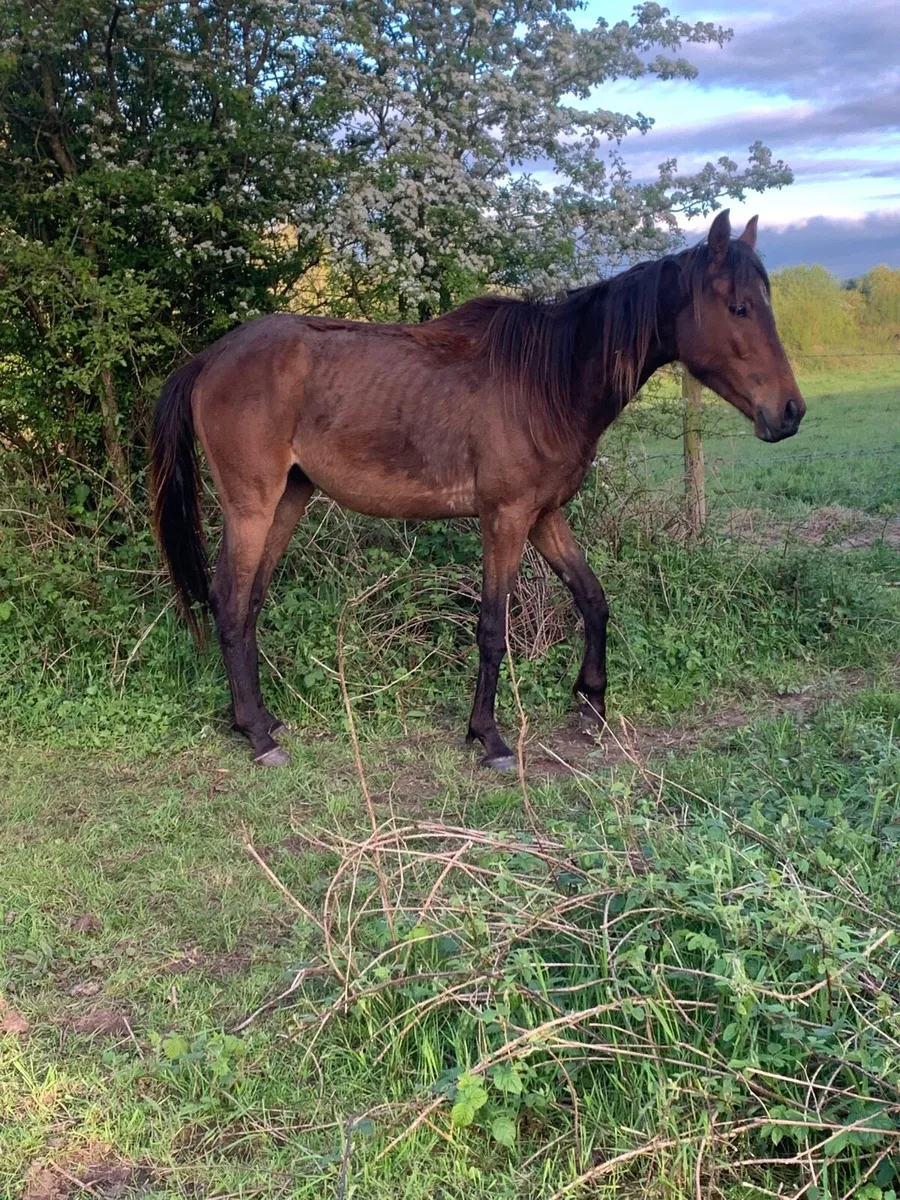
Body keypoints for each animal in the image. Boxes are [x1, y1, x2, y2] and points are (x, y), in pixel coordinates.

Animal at [150, 210, 805, 770]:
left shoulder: (544, 516)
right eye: (739, 308)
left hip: (289, 499)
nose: (790, 412)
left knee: (251, 602)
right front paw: (488, 737)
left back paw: (261, 720)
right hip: (251, 506)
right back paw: (257, 737)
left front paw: (590, 703)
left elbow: (592, 599)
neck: (547, 380)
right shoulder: (505, 518)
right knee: (230, 600)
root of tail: (212, 358)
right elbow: (493, 627)